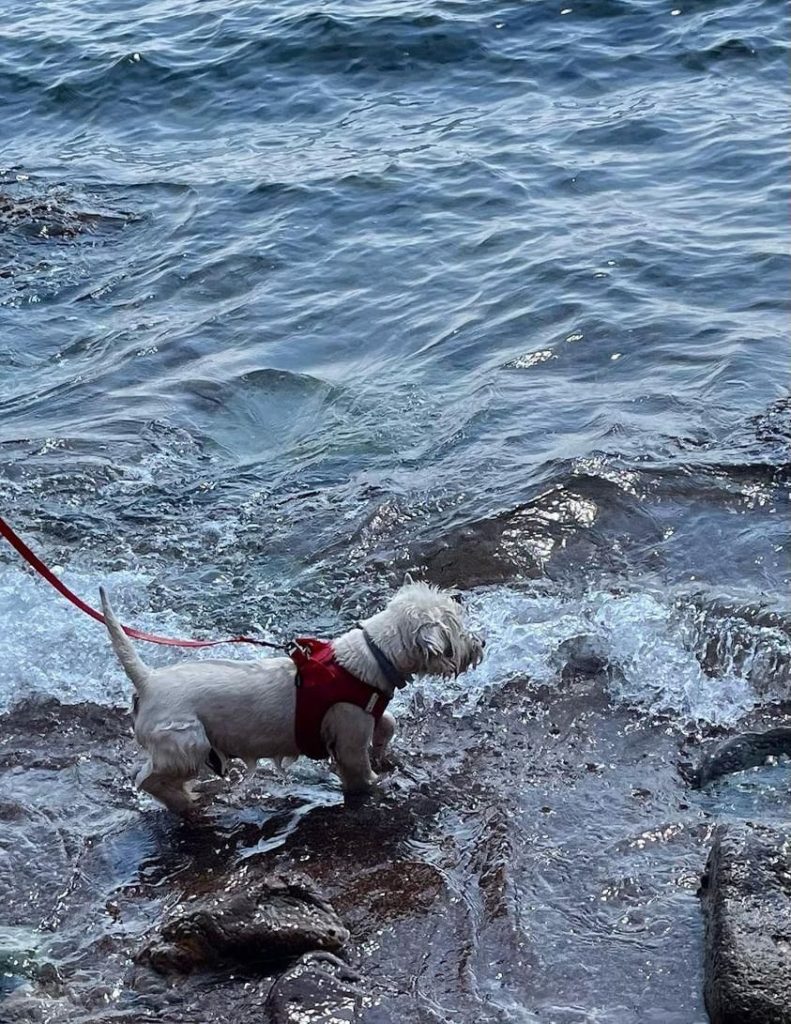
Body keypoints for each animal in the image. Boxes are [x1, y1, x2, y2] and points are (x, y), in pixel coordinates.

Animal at [98, 581, 481, 811]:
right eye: (457, 629)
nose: (481, 643)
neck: (375, 654)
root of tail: (148, 681)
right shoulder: (349, 737)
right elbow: (359, 772)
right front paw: (377, 785)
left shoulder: (364, 715)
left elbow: (388, 723)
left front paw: (384, 750)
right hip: (185, 741)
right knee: (149, 778)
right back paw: (184, 801)